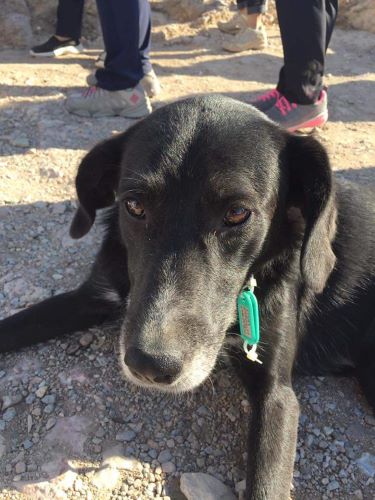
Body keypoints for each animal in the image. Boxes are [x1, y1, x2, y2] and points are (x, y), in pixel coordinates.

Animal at [0, 95, 375, 498]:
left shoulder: (277, 395)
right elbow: (16, 324)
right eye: (134, 206)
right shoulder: (93, 297)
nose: (150, 365)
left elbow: (266, 482)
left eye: (237, 213)